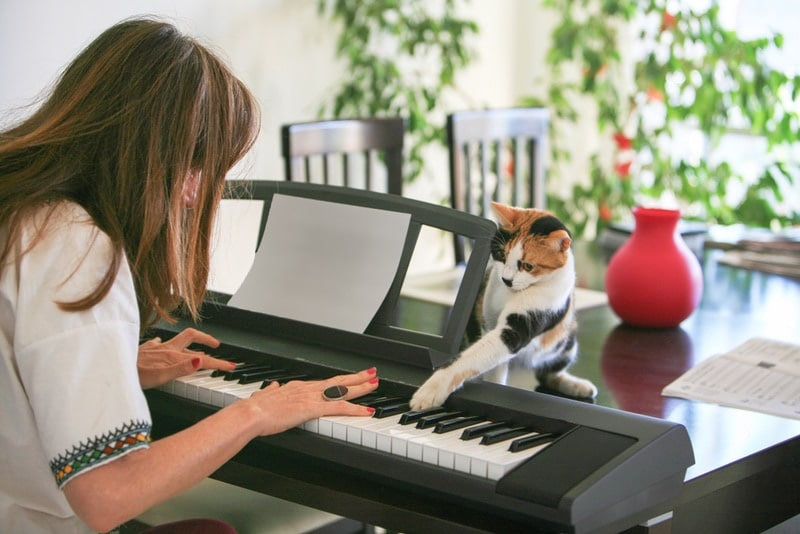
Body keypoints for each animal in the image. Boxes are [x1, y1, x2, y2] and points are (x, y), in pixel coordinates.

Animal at [410, 203, 596, 412]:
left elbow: (476, 355)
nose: (506, 279)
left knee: (548, 373)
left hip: (567, 341)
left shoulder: (530, 317)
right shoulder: (486, 319)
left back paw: (578, 385)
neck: (512, 293)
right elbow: (489, 361)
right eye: (501, 255)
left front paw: (431, 390)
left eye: (528, 266)